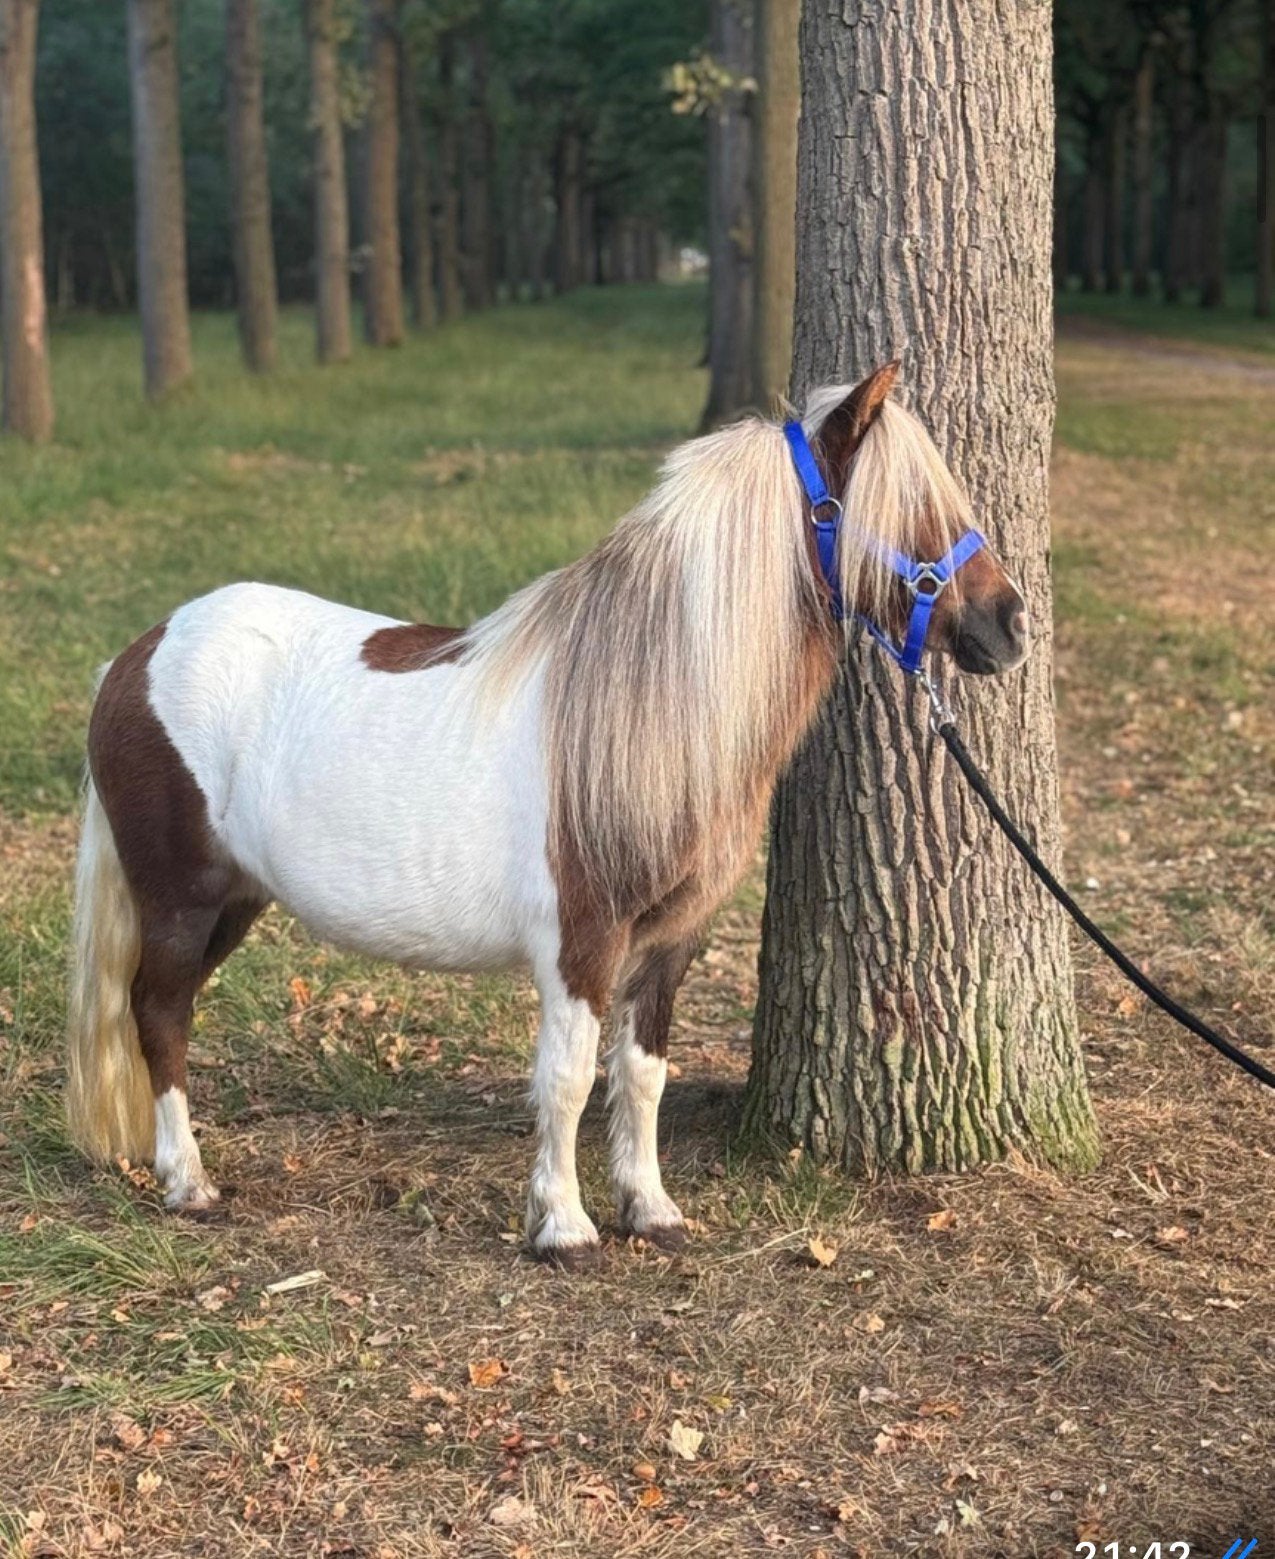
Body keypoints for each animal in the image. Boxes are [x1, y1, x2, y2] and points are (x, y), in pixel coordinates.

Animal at [66, 362, 1029, 1266]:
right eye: (912, 508)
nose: (1009, 623)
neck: (645, 701)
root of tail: (138, 651)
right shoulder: (581, 942)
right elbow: (565, 1079)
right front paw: (562, 1226)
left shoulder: (668, 943)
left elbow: (640, 1074)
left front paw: (651, 1209)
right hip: (182, 898)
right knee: (158, 1010)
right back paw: (188, 1182)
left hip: (236, 900)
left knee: (164, 1009)